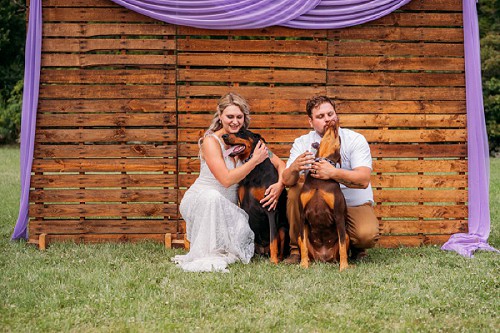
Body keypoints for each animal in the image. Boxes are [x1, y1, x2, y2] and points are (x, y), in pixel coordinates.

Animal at [223, 129, 290, 262]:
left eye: (241, 132)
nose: (224, 136)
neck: (253, 168)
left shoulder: (270, 207)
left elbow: (273, 239)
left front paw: (273, 261)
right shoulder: (244, 207)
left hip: (283, 229)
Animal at [298, 120, 350, 272]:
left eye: (339, 138)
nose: (333, 120)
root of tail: (323, 258)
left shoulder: (338, 215)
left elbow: (342, 245)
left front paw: (344, 267)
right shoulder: (302, 216)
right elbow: (303, 245)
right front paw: (303, 264)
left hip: (348, 236)